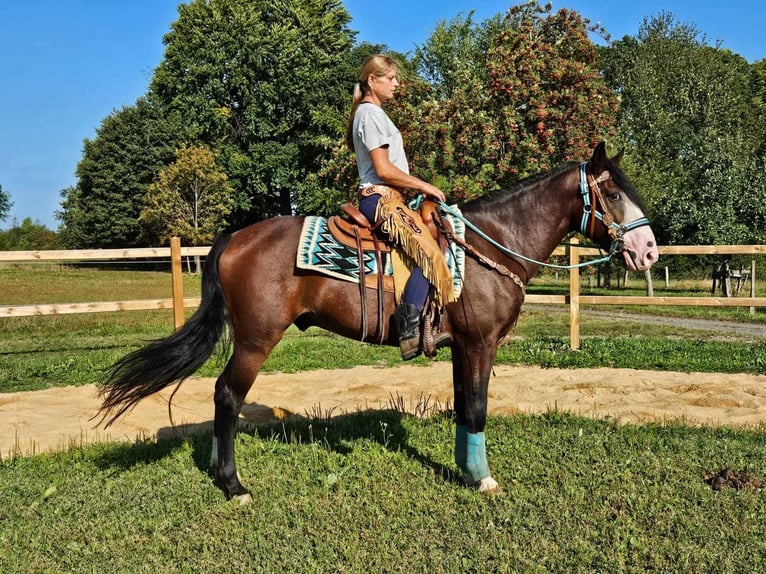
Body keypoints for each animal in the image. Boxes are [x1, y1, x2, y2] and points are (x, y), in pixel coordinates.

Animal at [97, 144, 660, 504]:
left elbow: (463, 408)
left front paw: (464, 471)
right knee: (227, 395)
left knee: (222, 398)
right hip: (257, 339)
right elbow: (478, 410)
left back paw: (219, 471)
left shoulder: (461, 347)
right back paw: (234, 486)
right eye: (612, 195)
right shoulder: (481, 344)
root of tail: (234, 238)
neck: (491, 247)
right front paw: (483, 480)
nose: (649, 250)